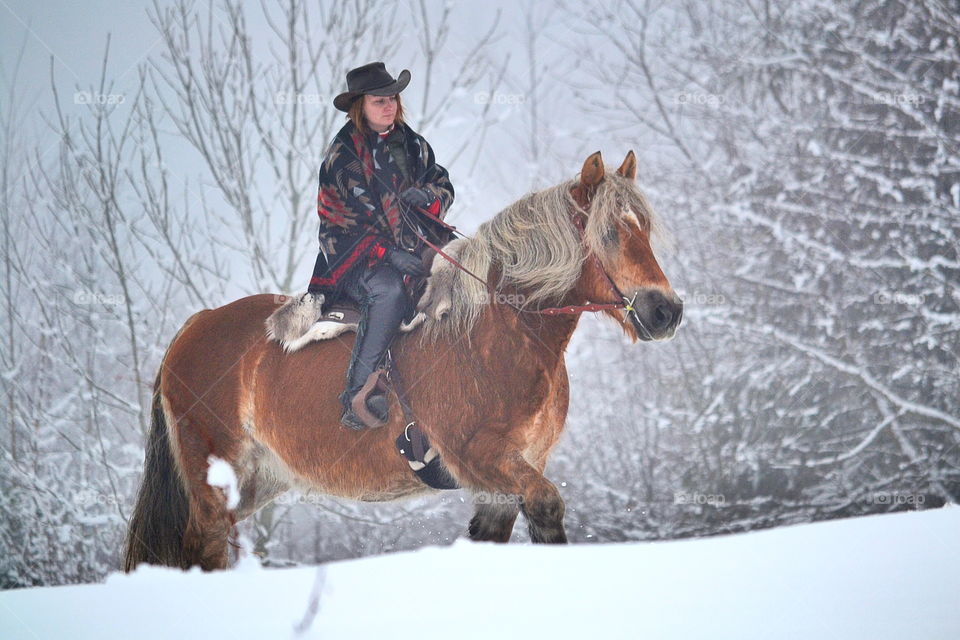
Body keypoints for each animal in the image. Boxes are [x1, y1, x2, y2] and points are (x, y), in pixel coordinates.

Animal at [124, 152, 688, 572]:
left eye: (645, 231)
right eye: (610, 234)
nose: (666, 310)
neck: (499, 332)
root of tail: (194, 327)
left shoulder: (505, 480)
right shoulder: (482, 456)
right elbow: (548, 507)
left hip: (257, 480)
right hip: (213, 479)